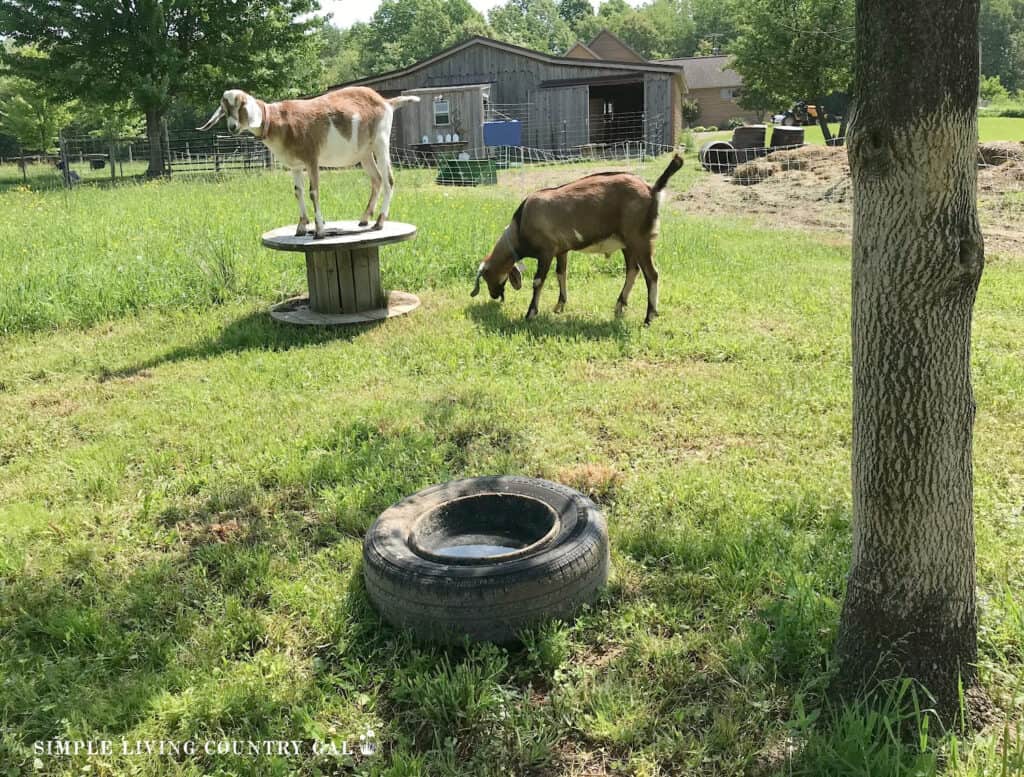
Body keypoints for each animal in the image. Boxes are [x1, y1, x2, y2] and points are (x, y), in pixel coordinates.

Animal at [195, 85, 419, 235]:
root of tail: (386, 102)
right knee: (376, 180)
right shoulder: (294, 166)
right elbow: (298, 192)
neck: (279, 121)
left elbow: (313, 192)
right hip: (364, 153)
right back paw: (364, 219)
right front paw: (301, 226)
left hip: (381, 143)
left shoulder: (312, 159)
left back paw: (380, 221)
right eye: (225, 109)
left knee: (389, 179)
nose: (232, 127)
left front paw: (319, 230)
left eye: (240, 105)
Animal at [468, 154, 679, 325]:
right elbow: (561, 273)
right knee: (633, 271)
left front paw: (530, 313)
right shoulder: (561, 250)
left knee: (652, 274)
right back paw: (619, 306)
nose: (494, 295)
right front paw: (559, 306)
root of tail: (652, 189)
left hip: (641, 239)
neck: (520, 224)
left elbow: (538, 281)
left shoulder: (546, 251)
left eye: (486, 276)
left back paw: (649, 317)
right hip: (628, 243)